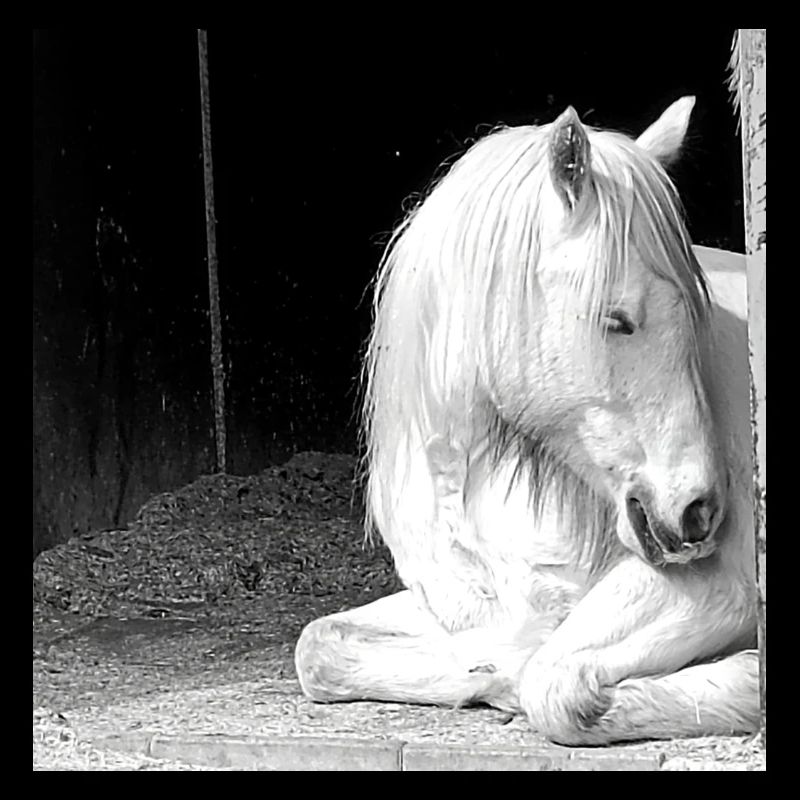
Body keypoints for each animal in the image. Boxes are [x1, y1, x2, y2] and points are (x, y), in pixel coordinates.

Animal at [294, 96, 760, 746]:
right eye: (617, 319)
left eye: (698, 316)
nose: (699, 511)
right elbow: (319, 645)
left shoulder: (722, 589)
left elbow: (554, 685)